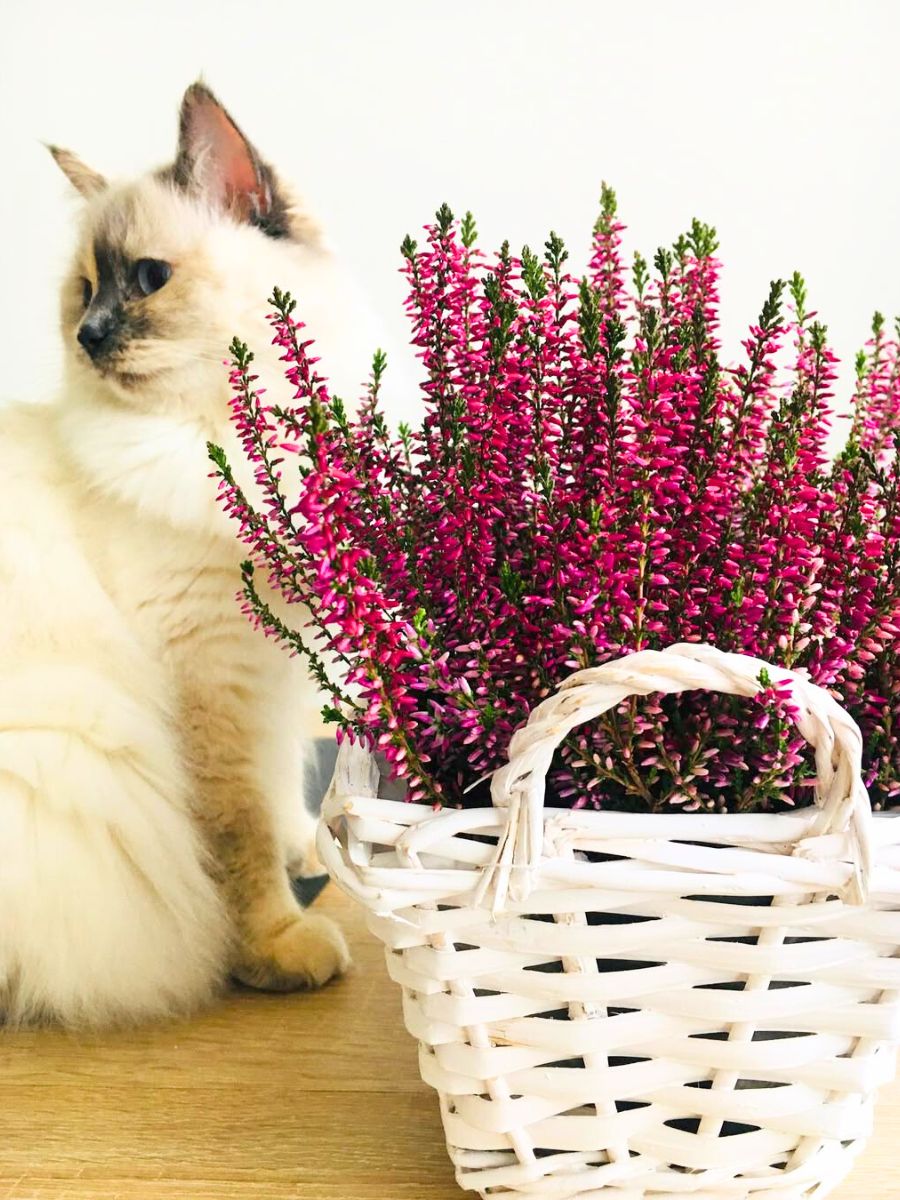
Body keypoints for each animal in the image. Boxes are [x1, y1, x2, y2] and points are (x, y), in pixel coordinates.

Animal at [0, 79, 386, 1027]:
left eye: (146, 279)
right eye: (84, 291)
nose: (90, 336)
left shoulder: (277, 665)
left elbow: (281, 792)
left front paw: (306, 856)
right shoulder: (212, 673)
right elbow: (237, 829)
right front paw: (279, 946)